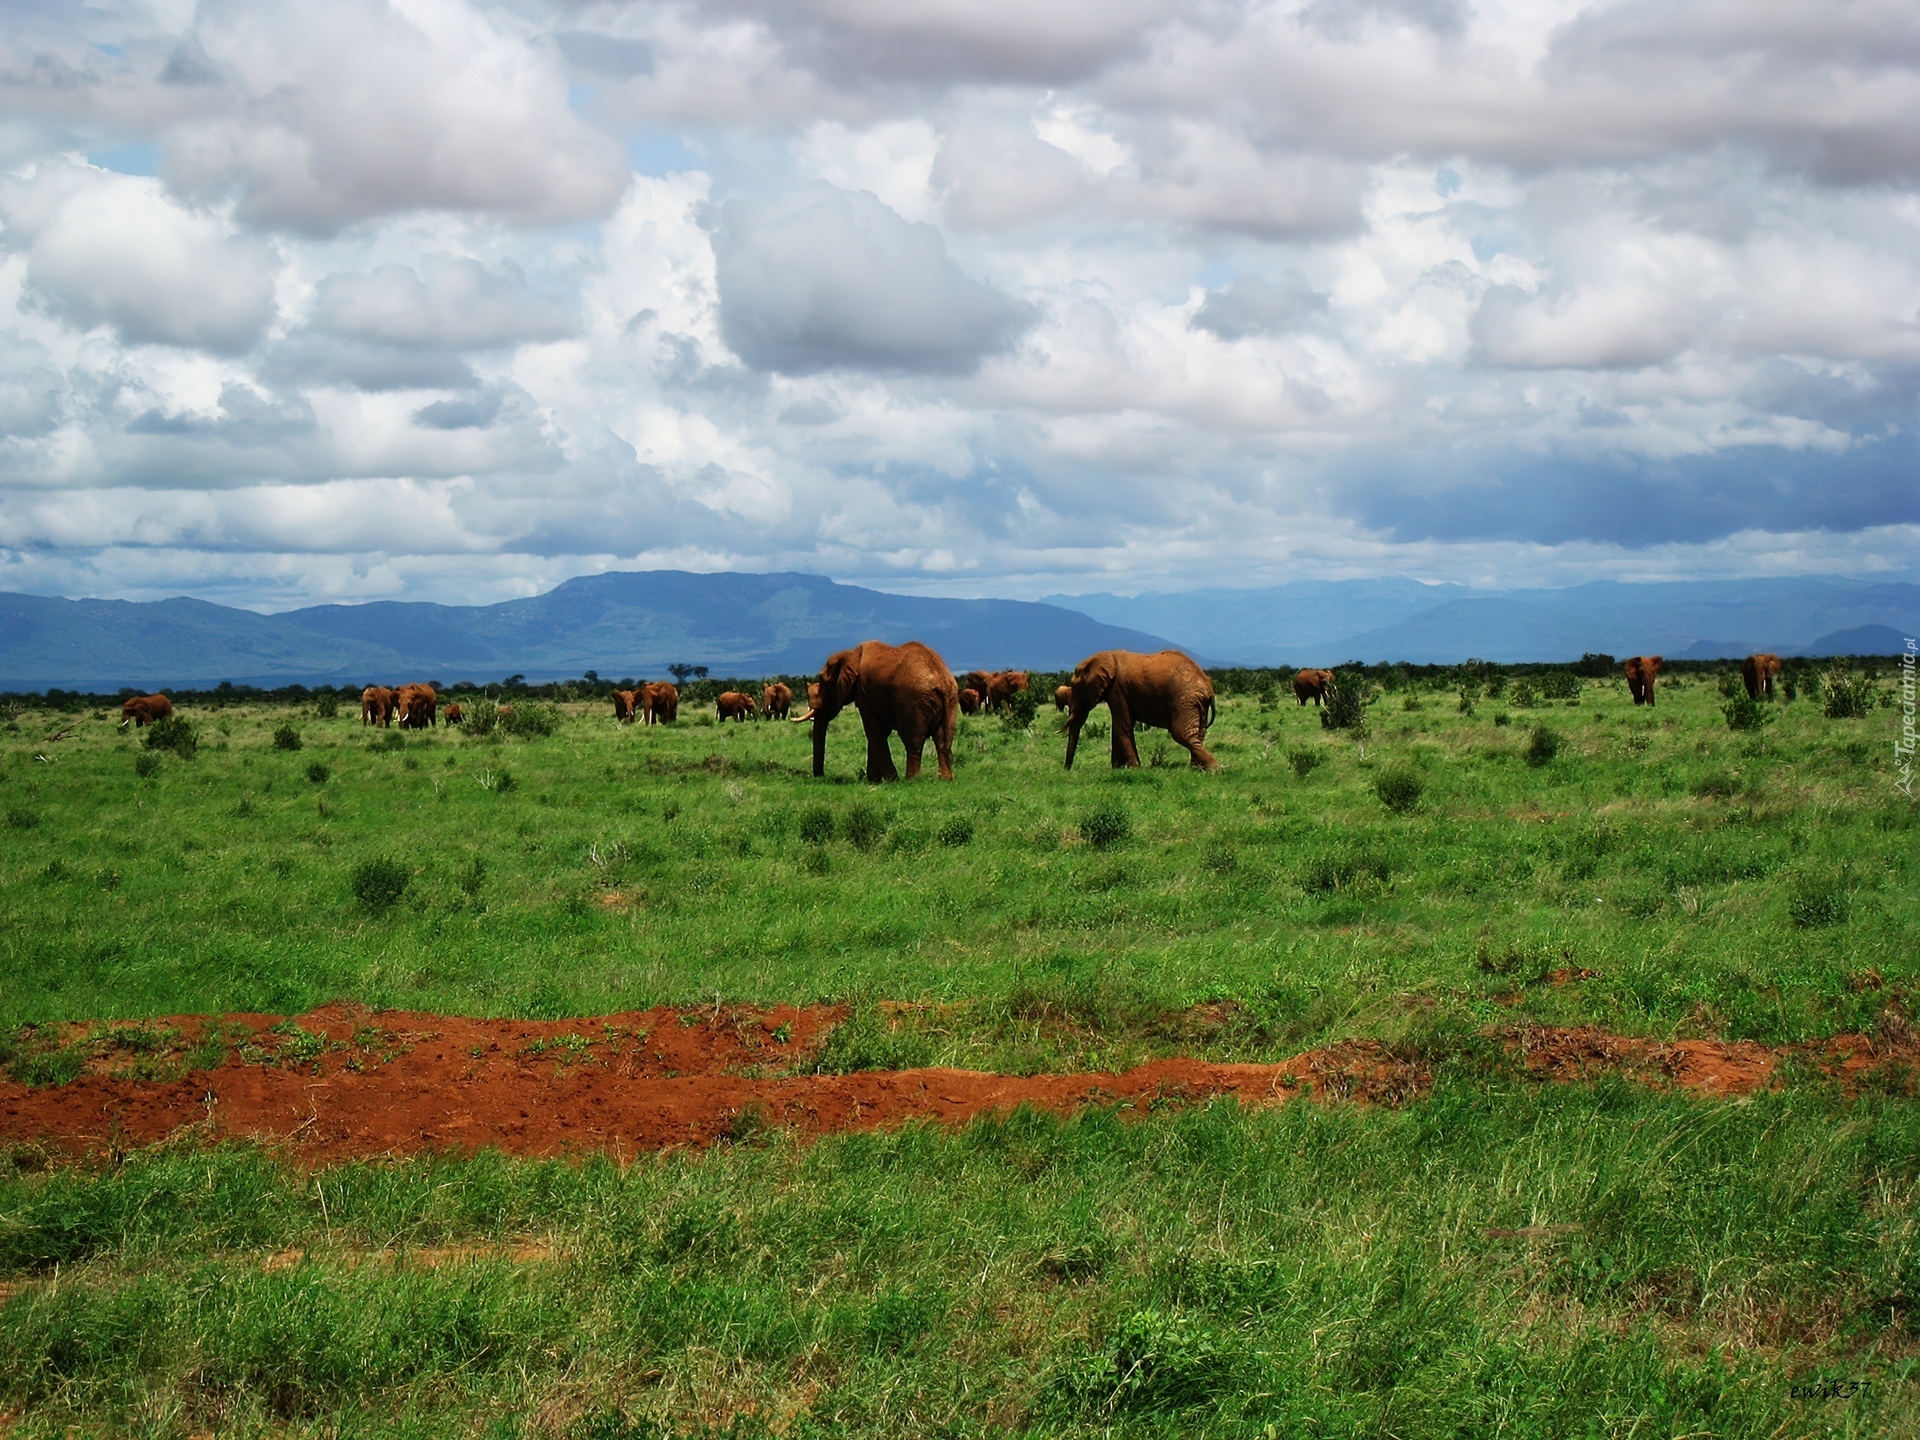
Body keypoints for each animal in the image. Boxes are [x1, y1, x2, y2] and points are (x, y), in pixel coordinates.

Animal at [802, 641, 960, 783]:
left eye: (822, 679)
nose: (820, 776)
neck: (852, 654)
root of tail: (942, 681)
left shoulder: (862, 692)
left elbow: (875, 730)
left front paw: (888, 780)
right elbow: (877, 731)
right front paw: (874, 781)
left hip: (913, 702)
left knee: (913, 741)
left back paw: (910, 780)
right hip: (951, 700)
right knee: (942, 739)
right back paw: (945, 779)